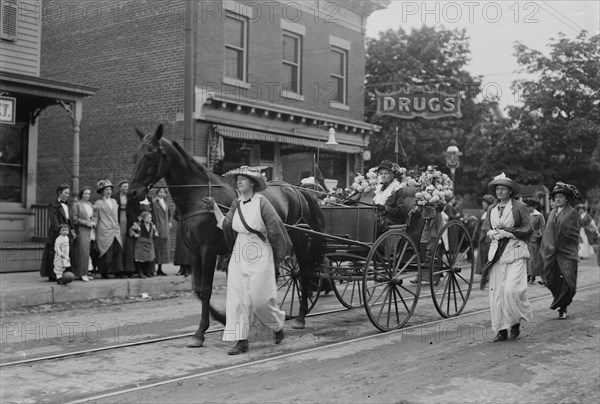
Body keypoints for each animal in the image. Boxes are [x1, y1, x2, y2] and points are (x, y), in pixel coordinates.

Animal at [129, 124, 326, 348]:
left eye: (150, 155)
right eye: (135, 155)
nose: (132, 192)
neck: (197, 196)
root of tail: (295, 189)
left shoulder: (208, 249)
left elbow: (206, 289)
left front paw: (201, 331)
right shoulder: (193, 251)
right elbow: (197, 289)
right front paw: (222, 320)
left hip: (298, 240)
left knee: (303, 272)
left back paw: (300, 316)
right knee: (276, 275)